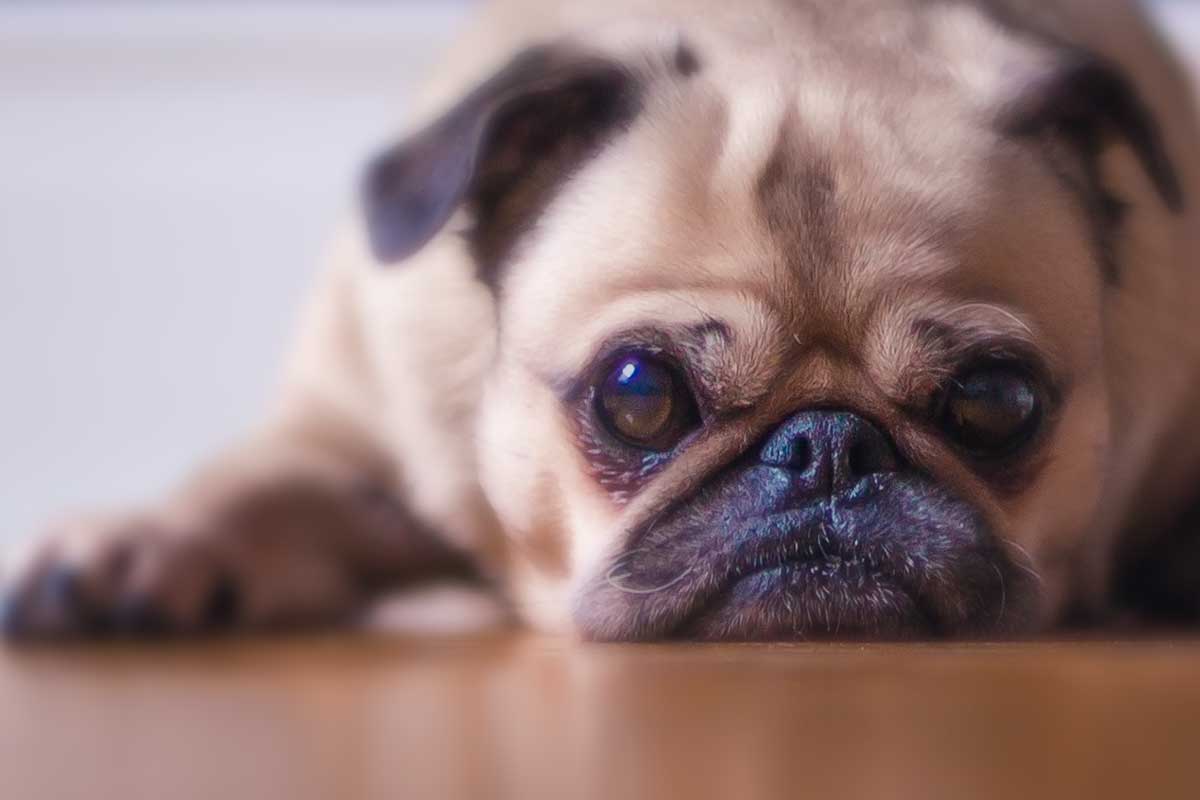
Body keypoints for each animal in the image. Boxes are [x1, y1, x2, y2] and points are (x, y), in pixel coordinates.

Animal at [2, 0, 1200, 642]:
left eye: (996, 401)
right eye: (640, 394)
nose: (827, 447)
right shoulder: (344, 437)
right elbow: (252, 482)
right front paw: (141, 543)